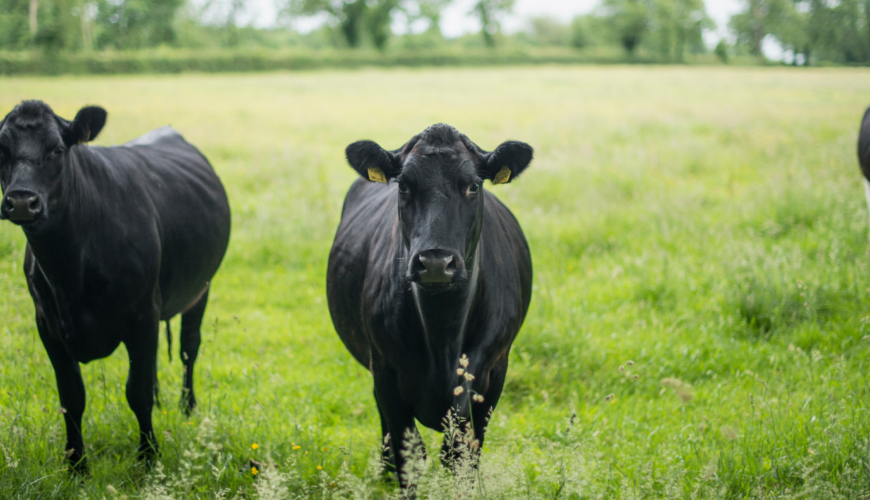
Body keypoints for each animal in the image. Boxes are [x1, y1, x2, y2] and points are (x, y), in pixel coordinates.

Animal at [0, 100, 232, 468]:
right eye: (1, 149)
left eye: (57, 149)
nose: (22, 201)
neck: (70, 272)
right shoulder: (47, 323)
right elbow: (71, 397)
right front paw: (76, 465)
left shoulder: (142, 314)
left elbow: (136, 392)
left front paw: (149, 457)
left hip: (200, 289)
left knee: (188, 347)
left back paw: (187, 408)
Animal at [326, 124, 532, 488]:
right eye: (404, 185)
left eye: (473, 185)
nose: (436, 263)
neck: (443, 336)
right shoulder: (386, 371)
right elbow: (410, 458)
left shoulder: (494, 373)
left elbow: (462, 457)